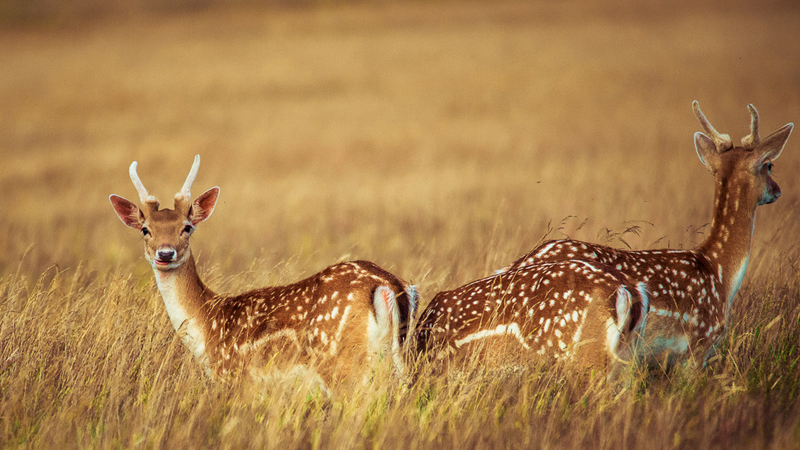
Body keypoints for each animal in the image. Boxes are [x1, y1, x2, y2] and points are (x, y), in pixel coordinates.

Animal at [109, 155, 418, 386]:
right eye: (145, 229)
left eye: (187, 227)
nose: (165, 253)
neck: (207, 325)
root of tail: (389, 285)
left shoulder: (235, 377)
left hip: (343, 365)